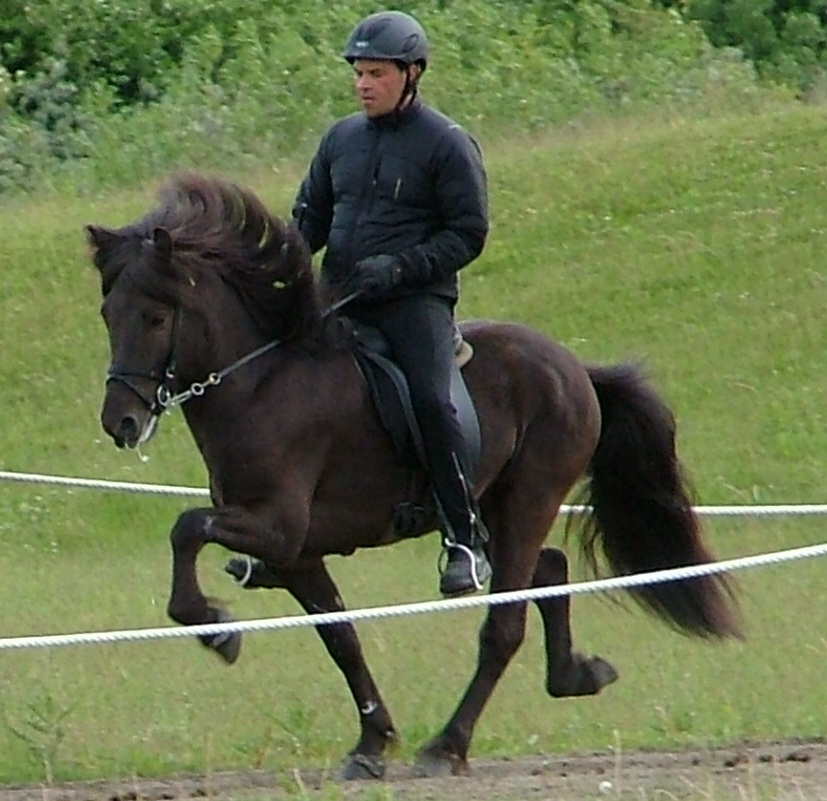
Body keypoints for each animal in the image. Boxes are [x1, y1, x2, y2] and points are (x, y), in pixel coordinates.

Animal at [85, 172, 744, 780]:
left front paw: (218, 630)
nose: (121, 422)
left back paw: (448, 745)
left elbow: (186, 527)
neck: (262, 384)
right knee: (548, 570)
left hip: (530, 494)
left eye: (155, 316)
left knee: (504, 624)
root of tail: (574, 367)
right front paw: (371, 743)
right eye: (108, 314)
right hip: (496, 505)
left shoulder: (275, 527)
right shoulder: (297, 553)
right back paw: (575, 674)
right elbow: (340, 638)